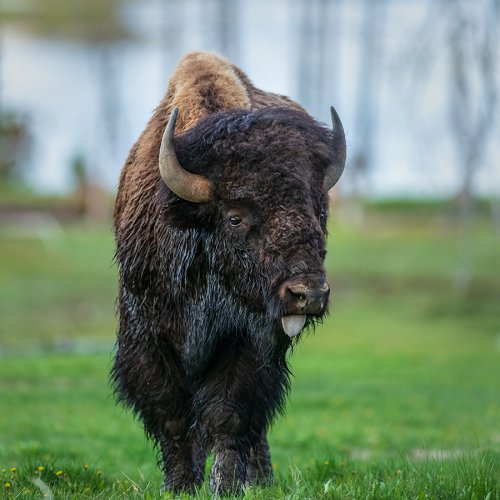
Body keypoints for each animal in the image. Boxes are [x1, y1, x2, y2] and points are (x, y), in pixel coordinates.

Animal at [111, 52, 346, 494]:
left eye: (319, 211)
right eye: (235, 217)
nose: (309, 293)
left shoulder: (248, 342)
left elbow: (228, 415)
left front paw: (225, 486)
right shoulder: (147, 335)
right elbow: (171, 412)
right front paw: (180, 486)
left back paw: (261, 479)